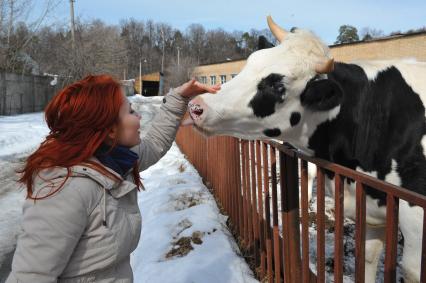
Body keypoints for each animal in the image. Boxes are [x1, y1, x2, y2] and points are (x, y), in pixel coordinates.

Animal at [186, 16, 426, 283]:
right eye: (250, 62)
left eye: (278, 85)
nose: (196, 107)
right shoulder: (371, 208)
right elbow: (368, 257)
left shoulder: (416, 218)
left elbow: (412, 271)